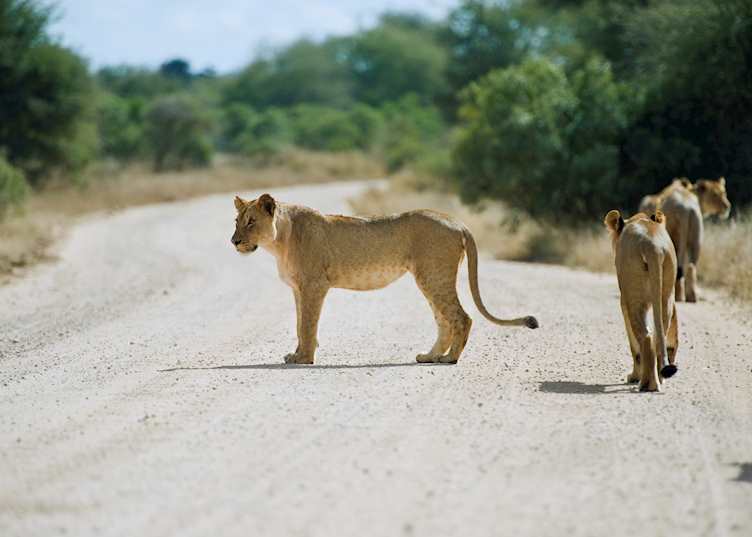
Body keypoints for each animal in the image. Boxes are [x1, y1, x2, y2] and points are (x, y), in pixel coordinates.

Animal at [231, 193, 539, 365]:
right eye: (236, 222)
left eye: (251, 222)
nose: (234, 242)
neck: (279, 241)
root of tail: (457, 221)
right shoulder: (298, 289)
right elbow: (298, 324)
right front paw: (296, 355)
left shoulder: (313, 286)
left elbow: (307, 325)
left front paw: (304, 359)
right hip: (429, 277)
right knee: (444, 320)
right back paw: (430, 356)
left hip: (434, 275)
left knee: (461, 317)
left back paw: (450, 359)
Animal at [604, 209, 679, 392]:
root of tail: (654, 247)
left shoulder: (624, 301)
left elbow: (634, 346)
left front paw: (633, 377)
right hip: (666, 294)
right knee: (659, 335)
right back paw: (660, 378)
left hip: (635, 298)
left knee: (646, 337)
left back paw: (647, 383)